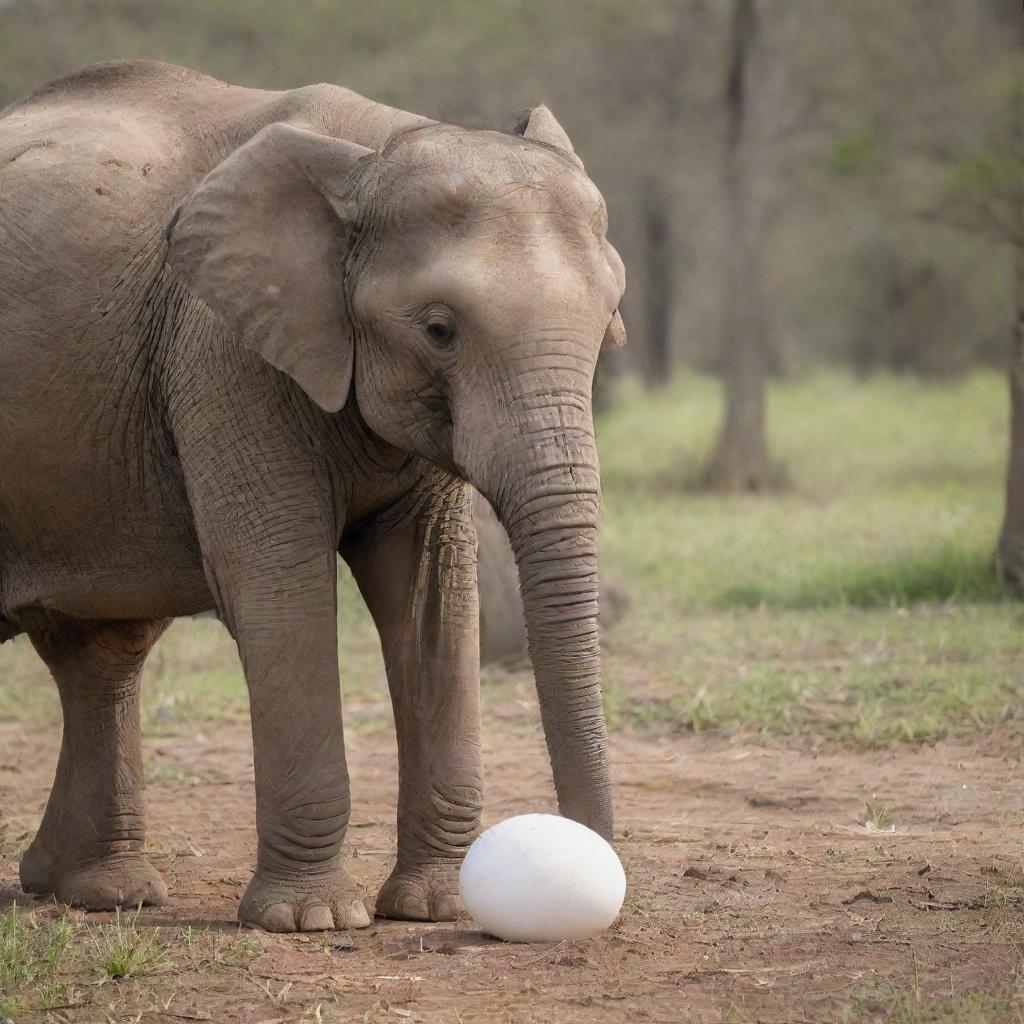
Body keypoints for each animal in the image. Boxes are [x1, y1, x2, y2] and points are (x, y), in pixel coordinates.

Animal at [0, 59, 622, 933]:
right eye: (439, 329)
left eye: (610, 320)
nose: (595, 870)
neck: (371, 153)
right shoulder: (222, 352)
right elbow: (281, 588)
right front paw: (311, 920)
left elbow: (431, 596)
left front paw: (432, 907)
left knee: (100, 652)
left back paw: (97, 891)